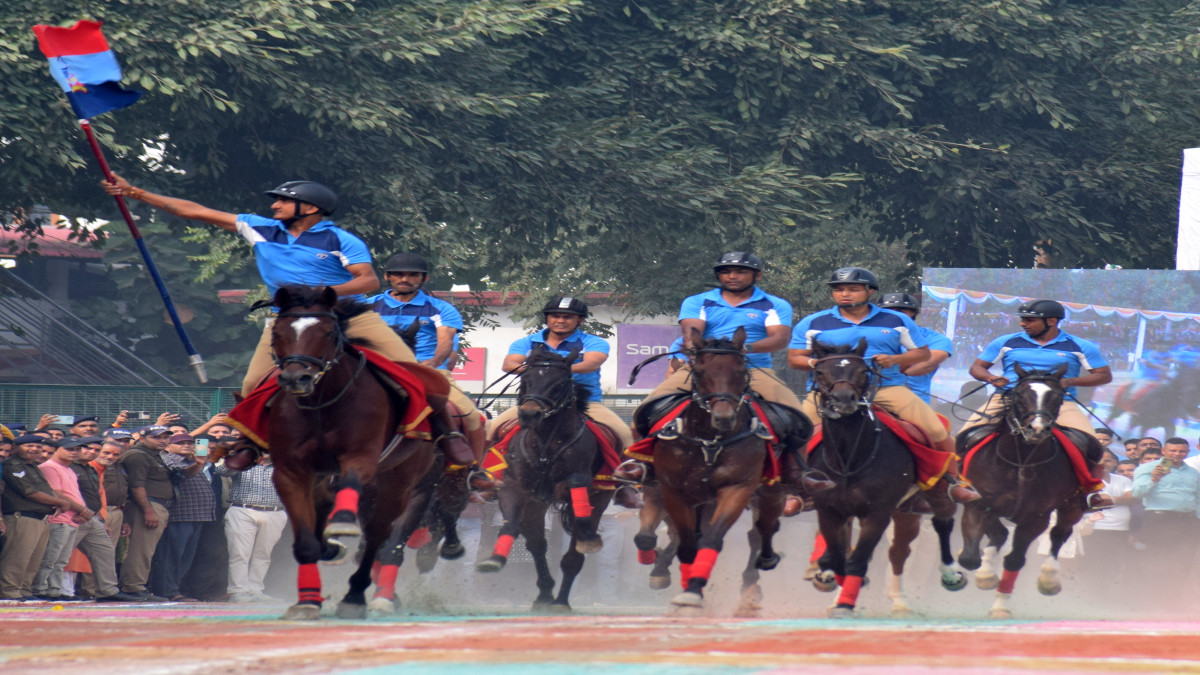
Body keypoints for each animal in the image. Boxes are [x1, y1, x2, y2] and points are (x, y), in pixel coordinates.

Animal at [259, 285, 436, 620]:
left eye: (328, 332)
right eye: (277, 332)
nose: (296, 378)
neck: (321, 405)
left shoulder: (363, 459)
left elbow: (351, 484)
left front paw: (342, 523)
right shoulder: (290, 472)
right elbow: (307, 541)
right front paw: (307, 600)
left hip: (399, 485)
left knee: (378, 538)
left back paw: (356, 596)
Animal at [475, 343, 612, 611]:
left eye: (559, 384)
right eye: (525, 380)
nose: (530, 414)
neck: (547, 444)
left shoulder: (578, 480)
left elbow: (577, 489)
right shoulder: (514, 488)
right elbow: (511, 525)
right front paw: (494, 559)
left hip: (601, 498)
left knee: (574, 553)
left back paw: (561, 600)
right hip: (535, 507)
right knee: (537, 546)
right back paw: (545, 594)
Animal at [645, 326, 789, 615]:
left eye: (741, 369)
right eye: (699, 371)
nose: (724, 417)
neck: (710, 441)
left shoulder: (737, 489)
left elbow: (711, 540)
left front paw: (693, 591)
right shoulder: (673, 492)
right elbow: (687, 543)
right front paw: (685, 588)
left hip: (768, 491)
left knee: (762, 529)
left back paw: (759, 572)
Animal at [806, 339, 964, 618]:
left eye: (863, 370)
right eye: (820, 372)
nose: (843, 399)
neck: (850, 459)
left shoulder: (877, 513)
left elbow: (858, 561)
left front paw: (845, 605)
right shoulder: (828, 510)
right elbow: (839, 557)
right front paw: (836, 588)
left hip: (933, 489)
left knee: (939, 524)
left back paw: (949, 573)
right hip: (902, 509)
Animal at [956, 363, 1090, 619]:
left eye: (1058, 396)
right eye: (1019, 395)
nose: (1036, 428)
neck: (1020, 462)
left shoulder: (1036, 517)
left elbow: (1014, 560)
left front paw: (1000, 606)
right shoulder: (977, 503)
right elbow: (969, 558)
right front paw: (979, 574)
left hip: (1073, 505)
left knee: (1059, 534)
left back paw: (1049, 579)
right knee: (1000, 534)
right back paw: (986, 574)